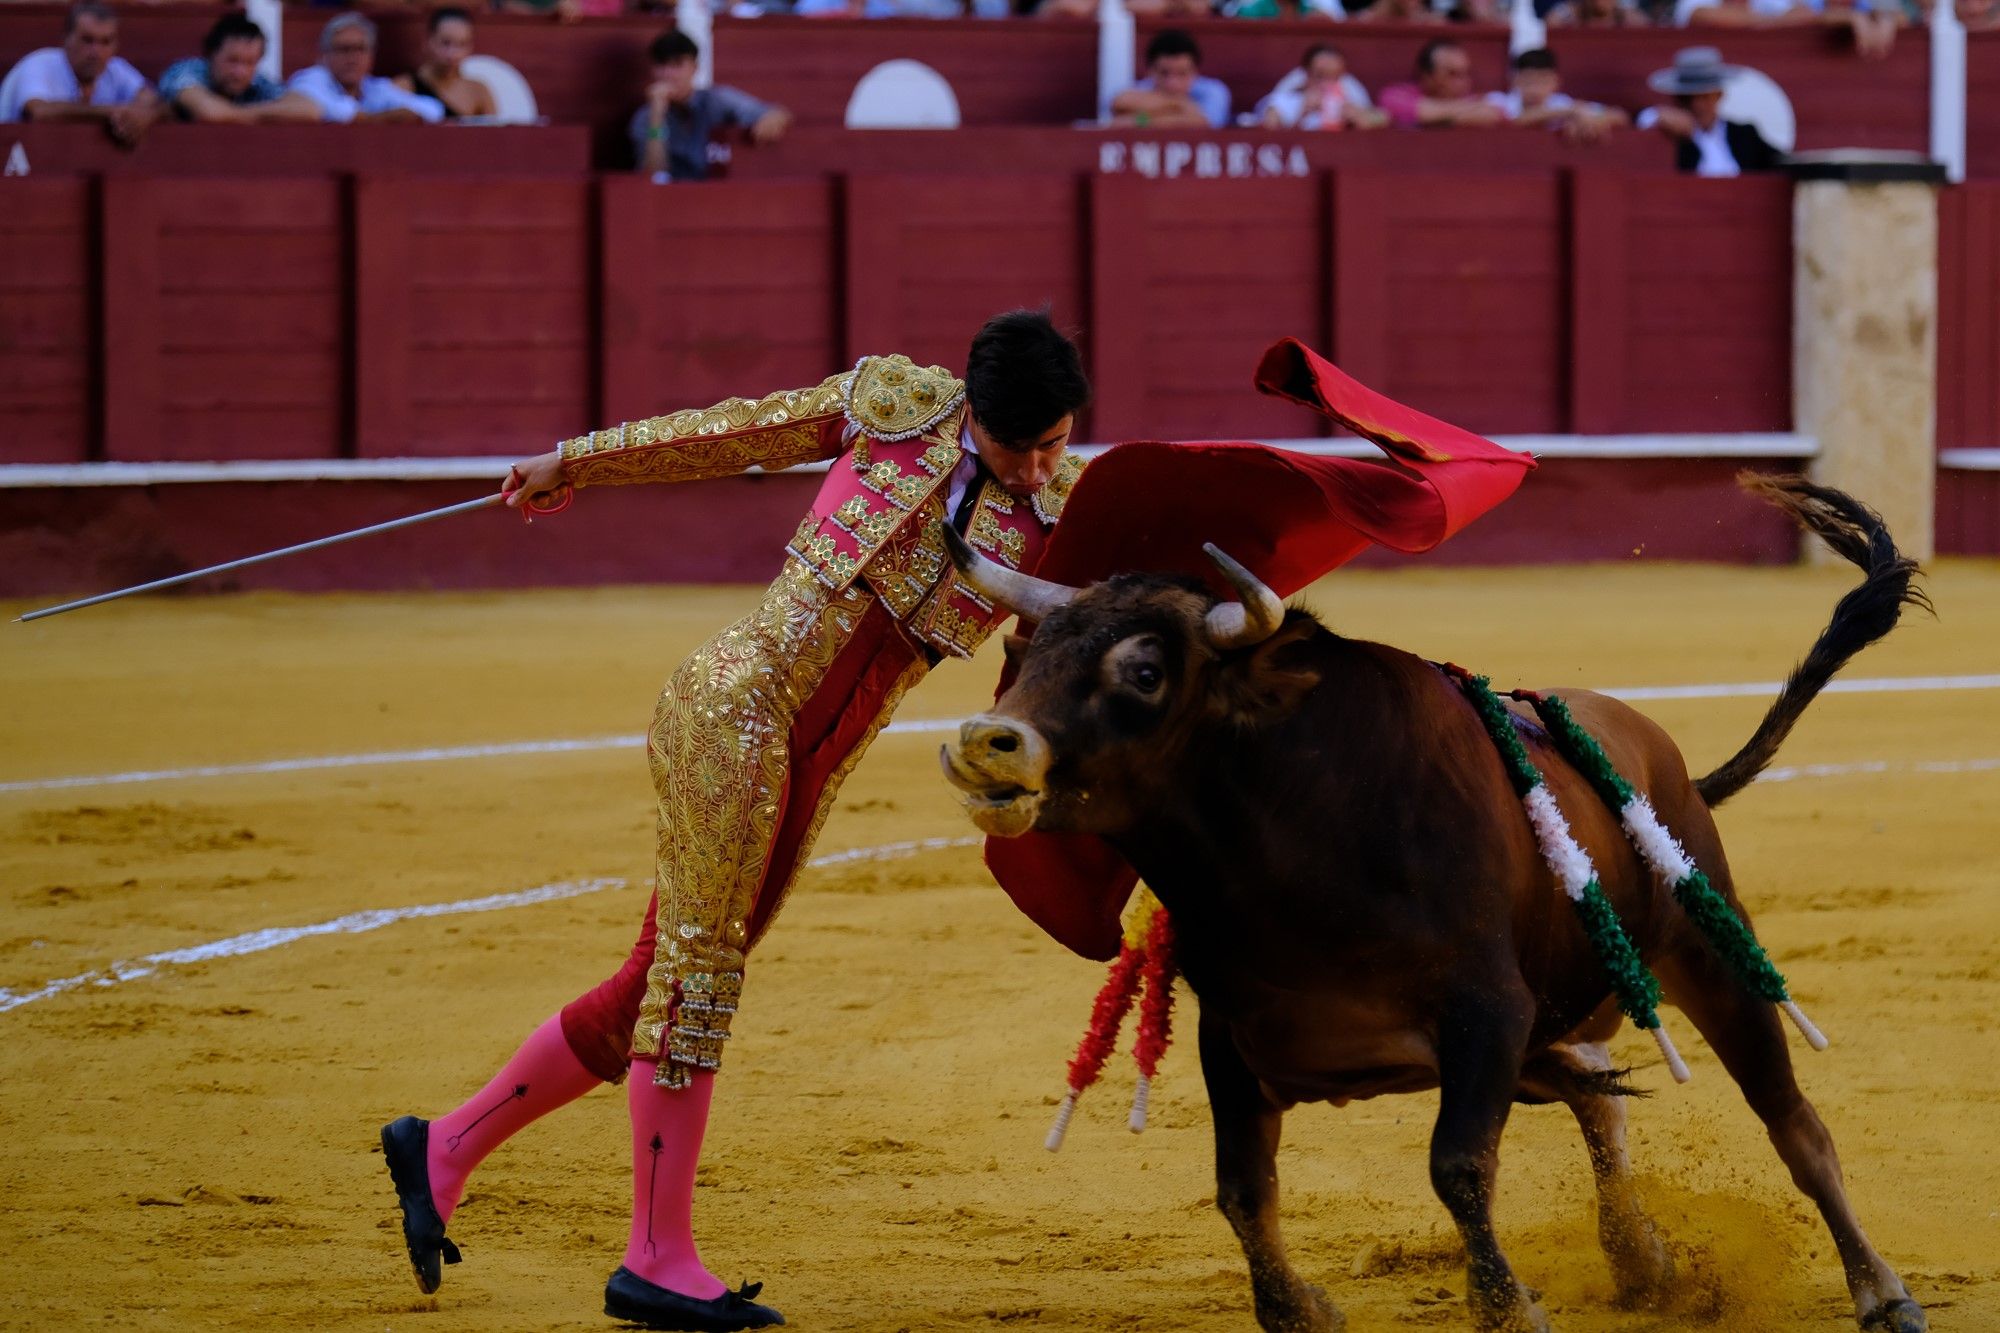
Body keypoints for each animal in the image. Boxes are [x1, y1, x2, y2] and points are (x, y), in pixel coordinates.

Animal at [944, 478, 1928, 1328]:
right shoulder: (1231, 1036)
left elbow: (1456, 1166)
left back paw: (1881, 1291)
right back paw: (1641, 1261)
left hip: (1707, 952)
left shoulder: (1487, 1014)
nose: (987, 742)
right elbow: (1242, 1188)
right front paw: (1302, 1309)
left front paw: (1509, 1309)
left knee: (1792, 1121)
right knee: (1599, 1098)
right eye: (1032, 653)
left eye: (1145, 671)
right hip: (1550, 1034)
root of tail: (1665, 762)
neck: (1293, 844)